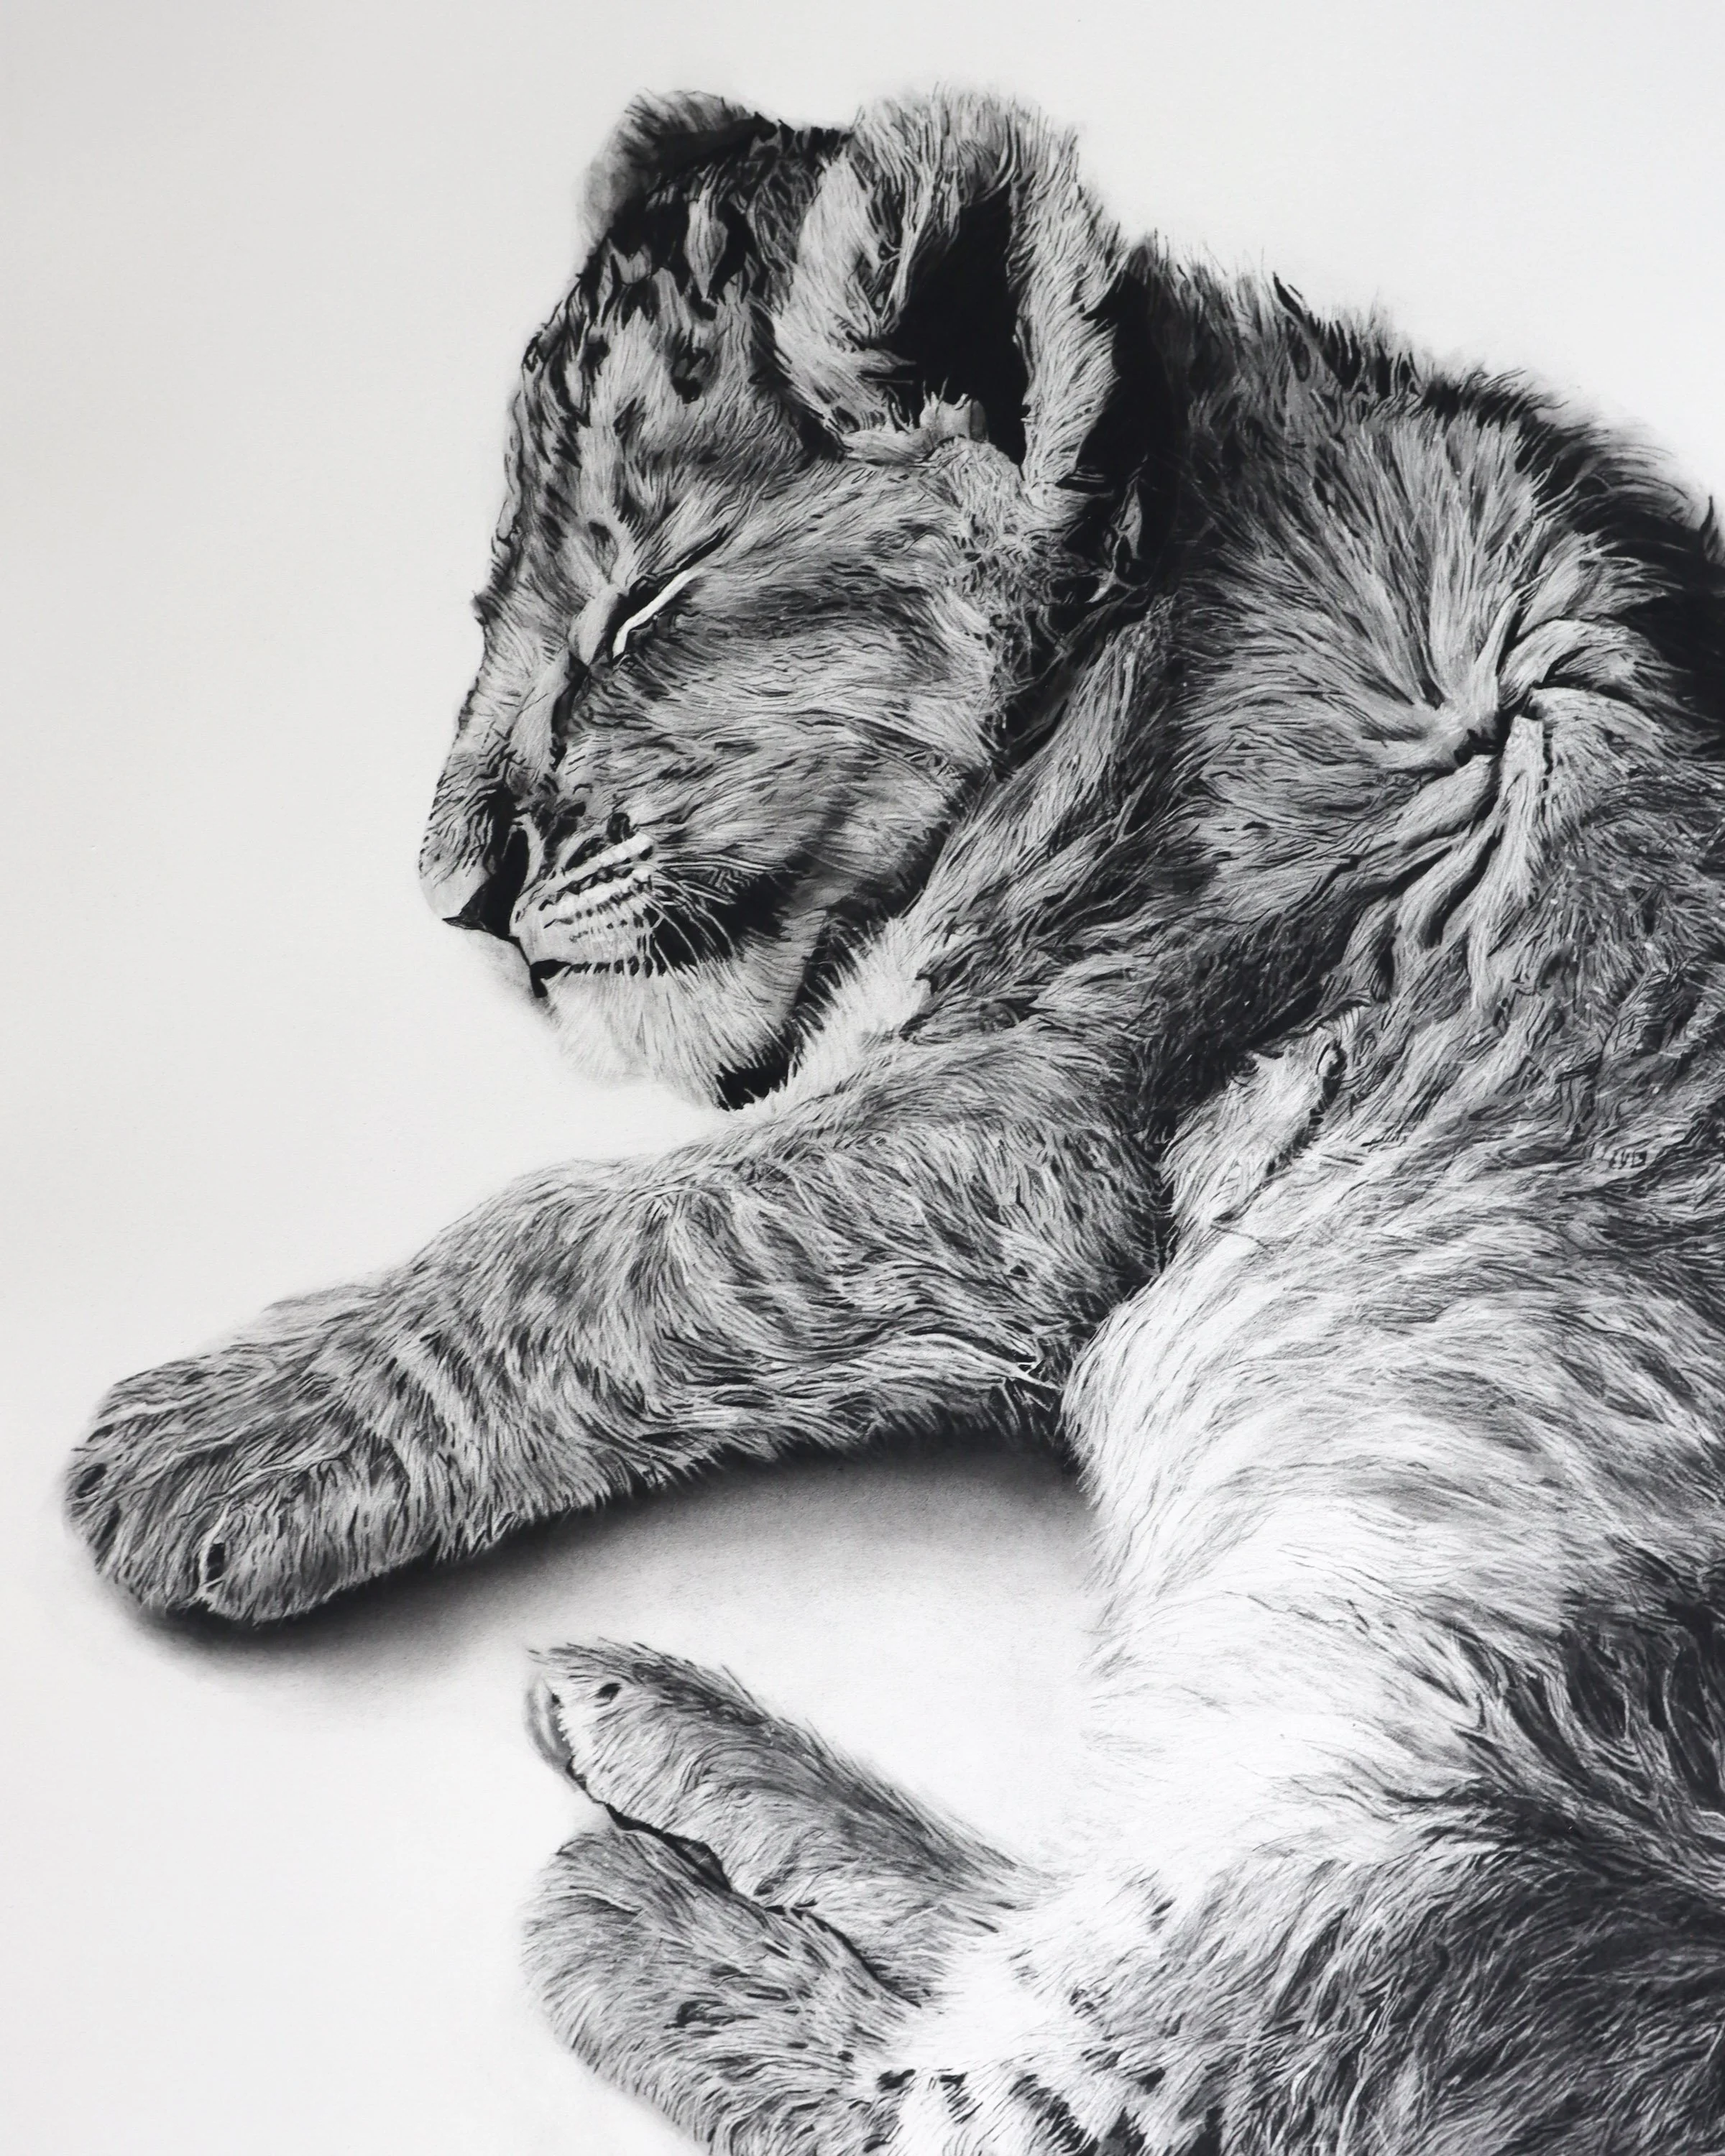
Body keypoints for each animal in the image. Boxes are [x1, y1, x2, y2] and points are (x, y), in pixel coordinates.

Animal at [66, 88, 1725, 2153]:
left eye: (647, 607)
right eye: (482, 608)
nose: (452, 894)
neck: (1158, 598)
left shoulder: (1021, 1134)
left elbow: (612, 1232)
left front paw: (198, 1448)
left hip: (1429, 1819)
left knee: (989, 2091)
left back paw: (623, 1904)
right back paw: (661, 1727)